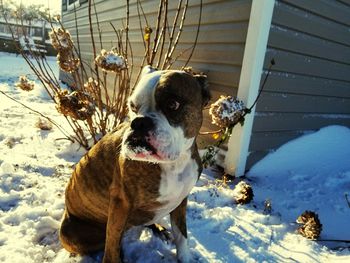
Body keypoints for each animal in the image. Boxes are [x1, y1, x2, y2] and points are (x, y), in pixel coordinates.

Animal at [59, 65, 211, 262]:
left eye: (173, 104)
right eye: (132, 106)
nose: (138, 122)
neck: (174, 164)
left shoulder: (181, 201)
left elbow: (181, 234)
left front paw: (184, 257)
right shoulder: (120, 204)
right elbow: (112, 243)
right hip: (72, 232)